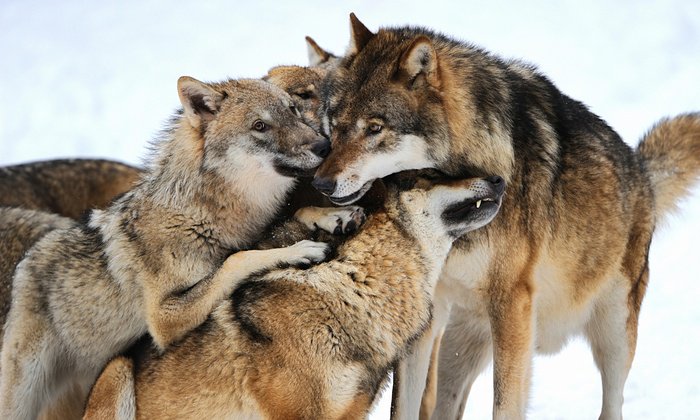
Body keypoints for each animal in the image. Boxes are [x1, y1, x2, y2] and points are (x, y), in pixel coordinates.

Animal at [313, 14, 700, 419]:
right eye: (334, 125)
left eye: (374, 128)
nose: (320, 182)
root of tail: (642, 171)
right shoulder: (427, 313)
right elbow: (403, 405)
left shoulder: (514, 305)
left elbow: (505, 403)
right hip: (458, 346)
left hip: (613, 333)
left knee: (614, 403)